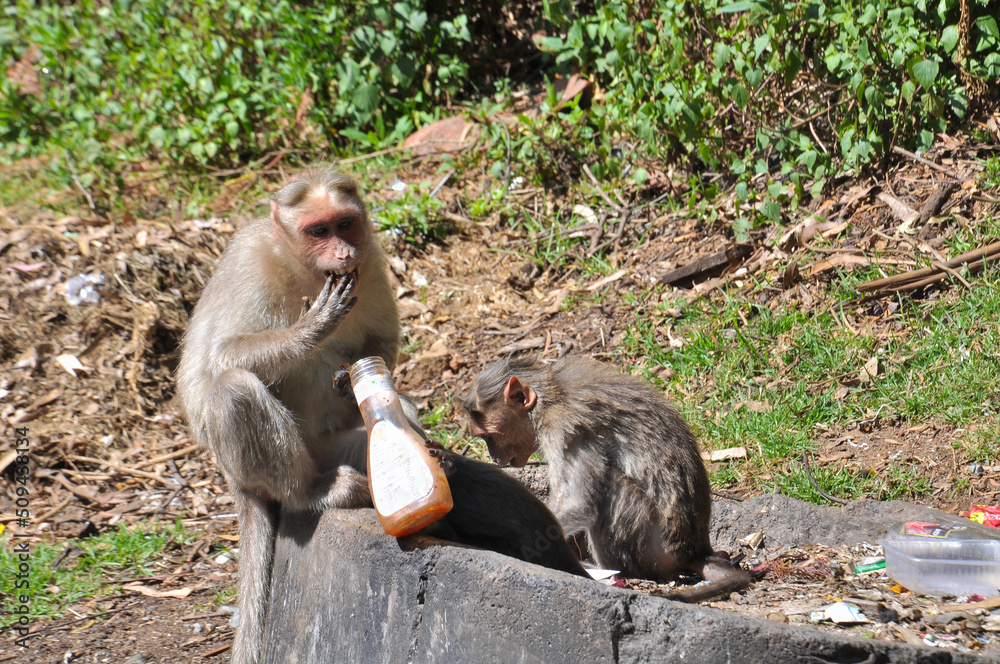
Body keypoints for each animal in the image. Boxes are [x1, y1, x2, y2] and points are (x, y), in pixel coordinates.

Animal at [177, 170, 585, 664]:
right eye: (318, 230)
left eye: (345, 224)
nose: (343, 252)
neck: (301, 268)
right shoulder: (248, 263)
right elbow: (212, 364)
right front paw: (313, 328)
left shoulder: (371, 261)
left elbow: (381, 345)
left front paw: (350, 379)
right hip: (272, 463)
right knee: (231, 389)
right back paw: (312, 491)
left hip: (341, 446)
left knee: (393, 414)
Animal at [463, 355, 751, 603]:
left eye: (489, 436)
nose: (495, 458)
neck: (550, 396)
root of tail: (693, 550)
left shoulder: (566, 431)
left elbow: (579, 504)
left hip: (653, 549)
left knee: (612, 484)